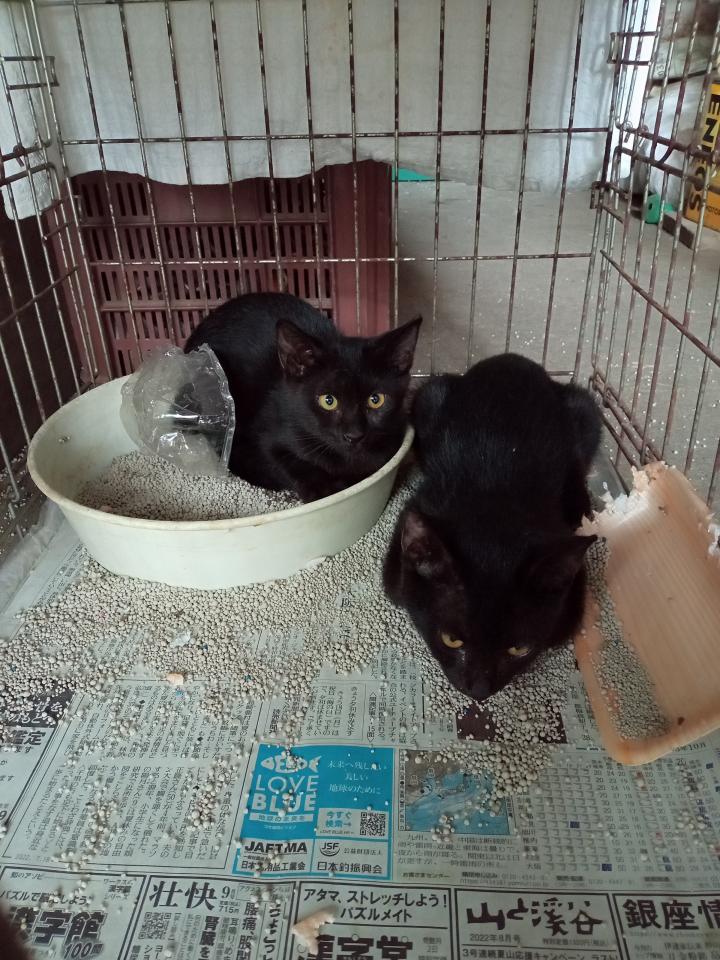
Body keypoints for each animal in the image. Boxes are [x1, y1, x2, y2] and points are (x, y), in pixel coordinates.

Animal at [184, 293, 422, 502]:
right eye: (328, 400)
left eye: (376, 400)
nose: (353, 435)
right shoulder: (268, 435)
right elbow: (285, 462)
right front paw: (323, 489)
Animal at [384, 353, 601, 702]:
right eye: (451, 640)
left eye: (519, 649)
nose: (479, 690)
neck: (495, 499)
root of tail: (512, 359)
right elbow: (399, 588)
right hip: (428, 396)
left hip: (587, 410)